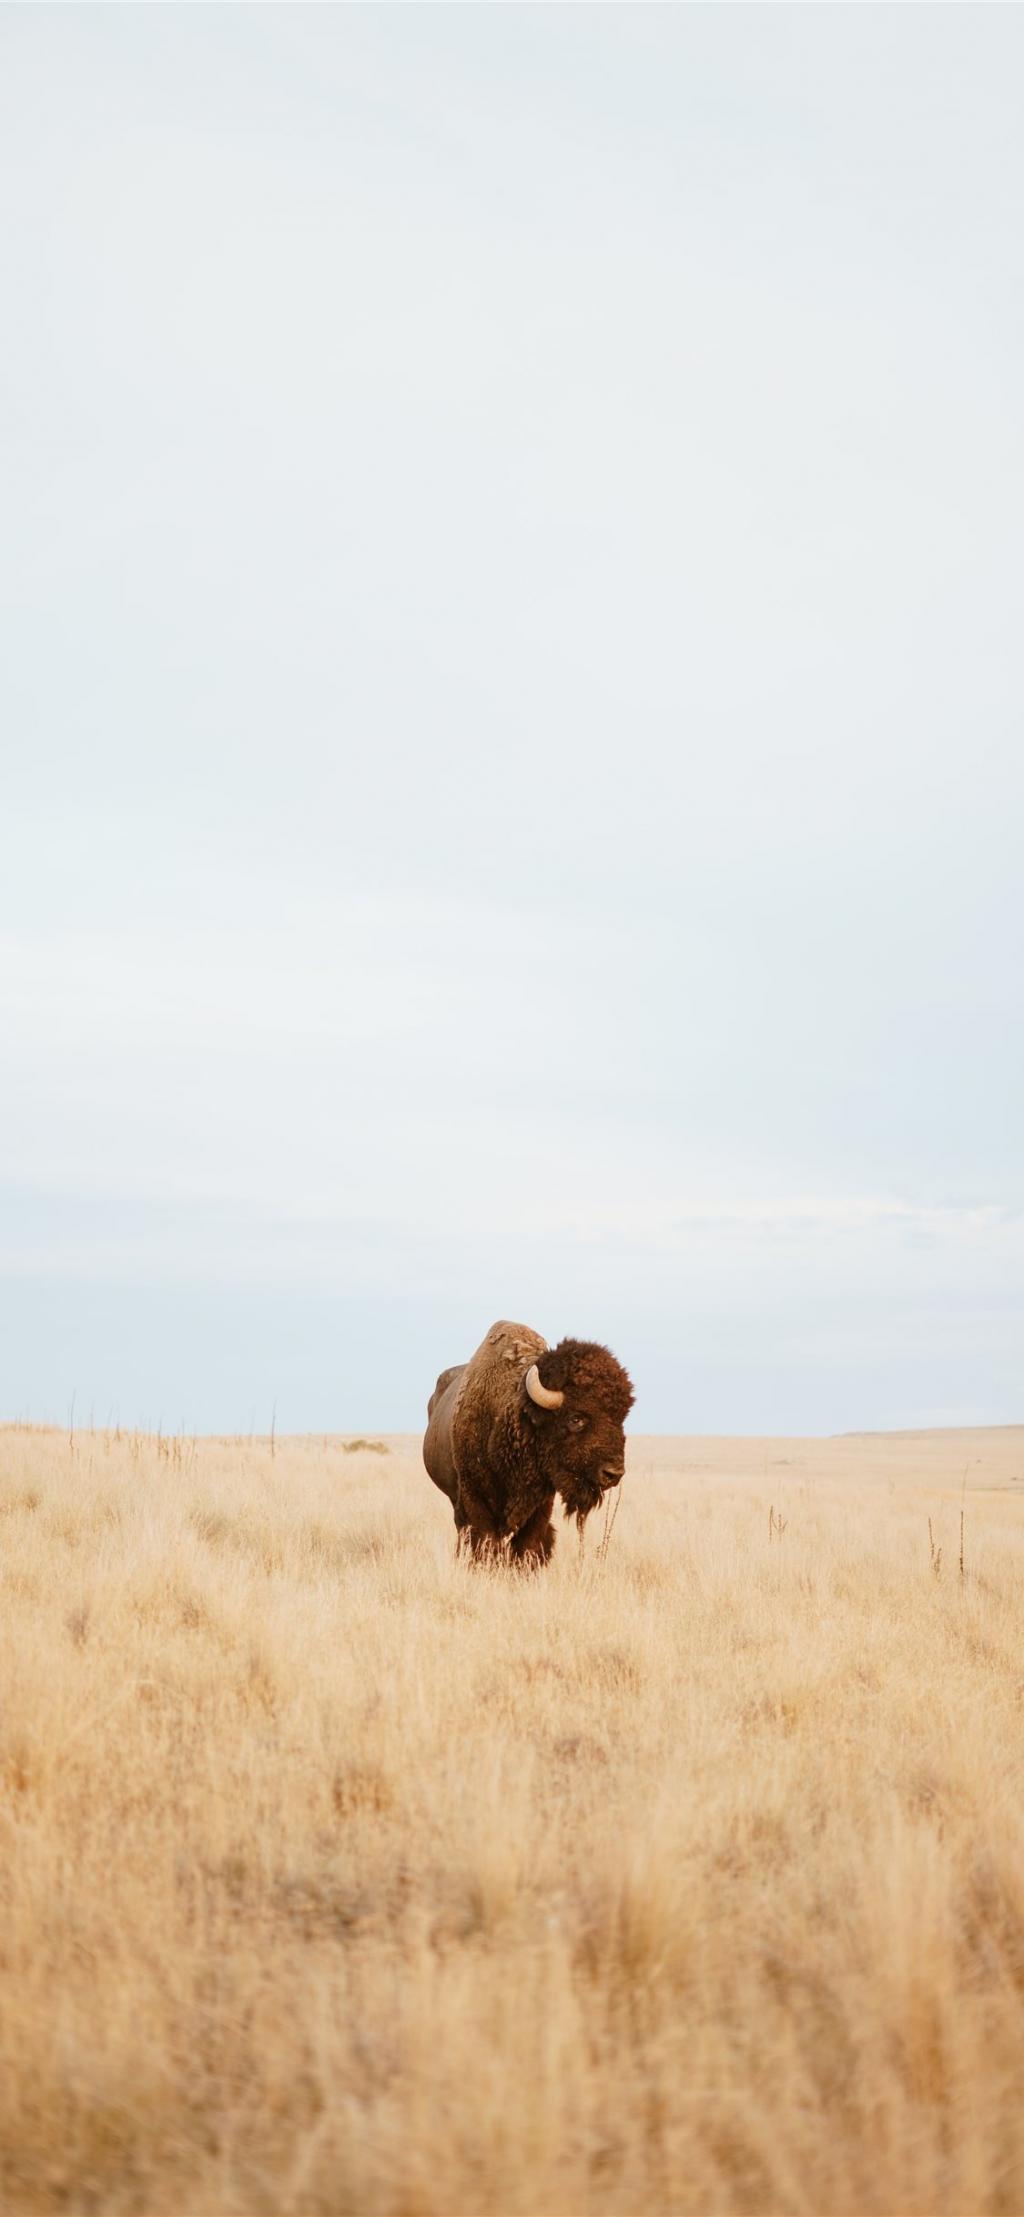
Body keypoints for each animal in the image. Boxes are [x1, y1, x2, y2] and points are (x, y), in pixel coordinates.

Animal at [421, 1321, 633, 1569]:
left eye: (621, 1418)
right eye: (575, 1418)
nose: (613, 1474)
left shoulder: (541, 1505)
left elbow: (528, 1545)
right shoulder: (474, 1497)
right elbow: (486, 1542)